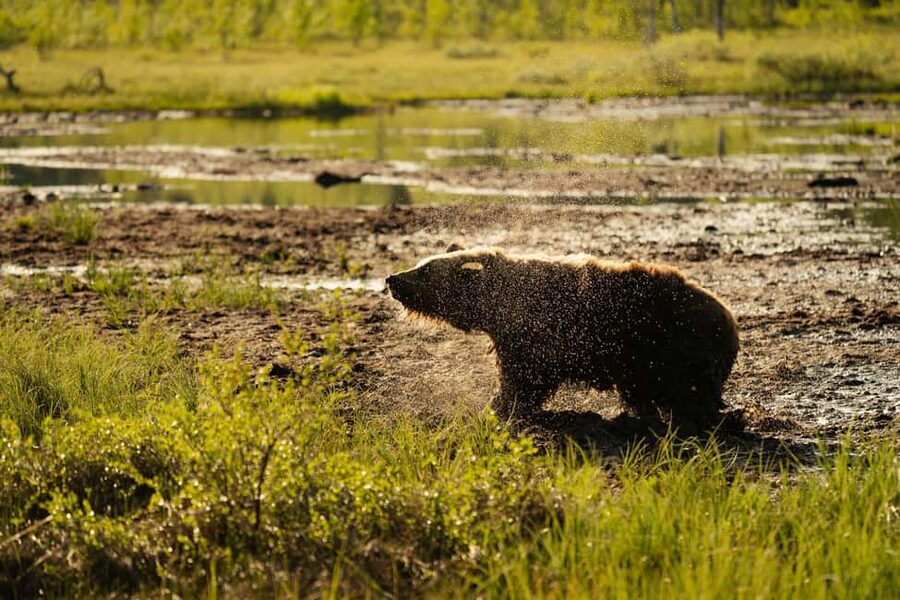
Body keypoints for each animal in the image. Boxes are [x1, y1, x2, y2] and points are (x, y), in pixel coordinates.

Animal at [386, 245, 740, 433]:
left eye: (424, 270)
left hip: (670, 345)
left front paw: (499, 405)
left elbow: (524, 379)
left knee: (684, 393)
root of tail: (730, 317)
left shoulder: (534, 337)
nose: (392, 279)